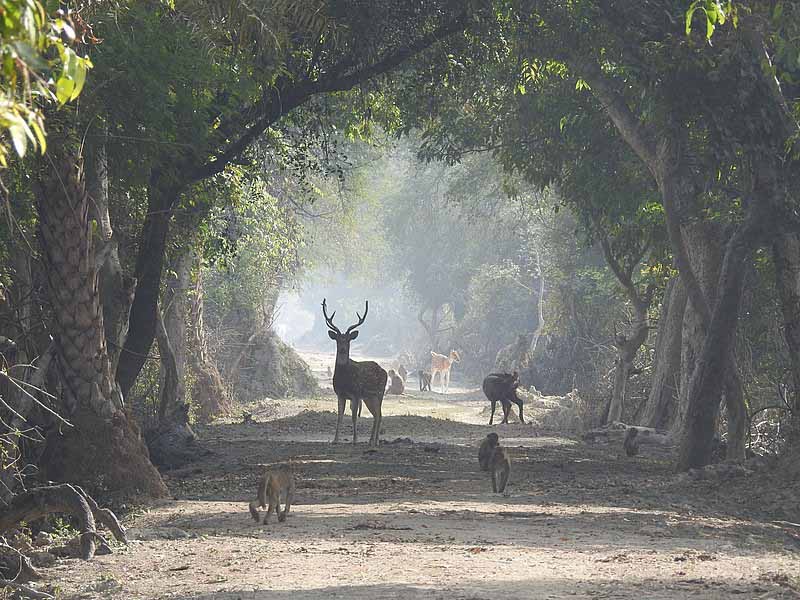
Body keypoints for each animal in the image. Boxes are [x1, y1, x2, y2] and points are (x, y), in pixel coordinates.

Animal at [324, 298, 390, 448]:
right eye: (338, 340)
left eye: (348, 340)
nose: (342, 349)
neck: (344, 379)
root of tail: (384, 371)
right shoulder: (340, 394)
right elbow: (340, 417)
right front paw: (335, 440)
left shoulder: (355, 393)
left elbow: (354, 418)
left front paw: (355, 440)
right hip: (368, 397)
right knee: (376, 415)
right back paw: (371, 441)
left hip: (380, 392)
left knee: (380, 415)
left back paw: (376, 441)